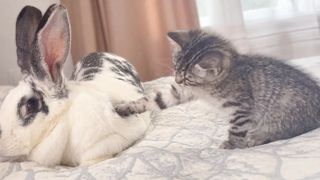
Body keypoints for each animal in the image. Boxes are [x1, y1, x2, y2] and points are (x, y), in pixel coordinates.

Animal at [115, 28, 320, 148]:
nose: (177, 80)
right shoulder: (180, 92)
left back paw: (259, 136)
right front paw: (126, 107)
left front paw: (232, 143)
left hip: (285, 107)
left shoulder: (242, 106)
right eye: (176, 66)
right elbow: (156, 100)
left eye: (187, 77)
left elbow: (237, 126)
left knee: (289, 130)